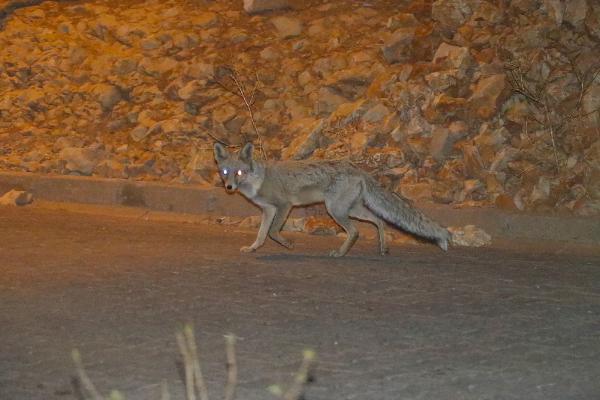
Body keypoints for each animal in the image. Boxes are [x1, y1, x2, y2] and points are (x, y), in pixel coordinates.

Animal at [213, 142, 452, 258]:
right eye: (225, 172)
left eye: (239, 173)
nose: (229, 188)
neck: (258, 180)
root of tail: (356, 167)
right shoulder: (268, 210)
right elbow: (262, 235)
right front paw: (253, 249)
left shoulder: (284, 205)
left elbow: (272, 232)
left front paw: (288, 244)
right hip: (351, 210)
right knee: (379, 221)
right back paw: (382, 248)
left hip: (335, 210)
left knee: (355, 232)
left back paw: (340, 253)